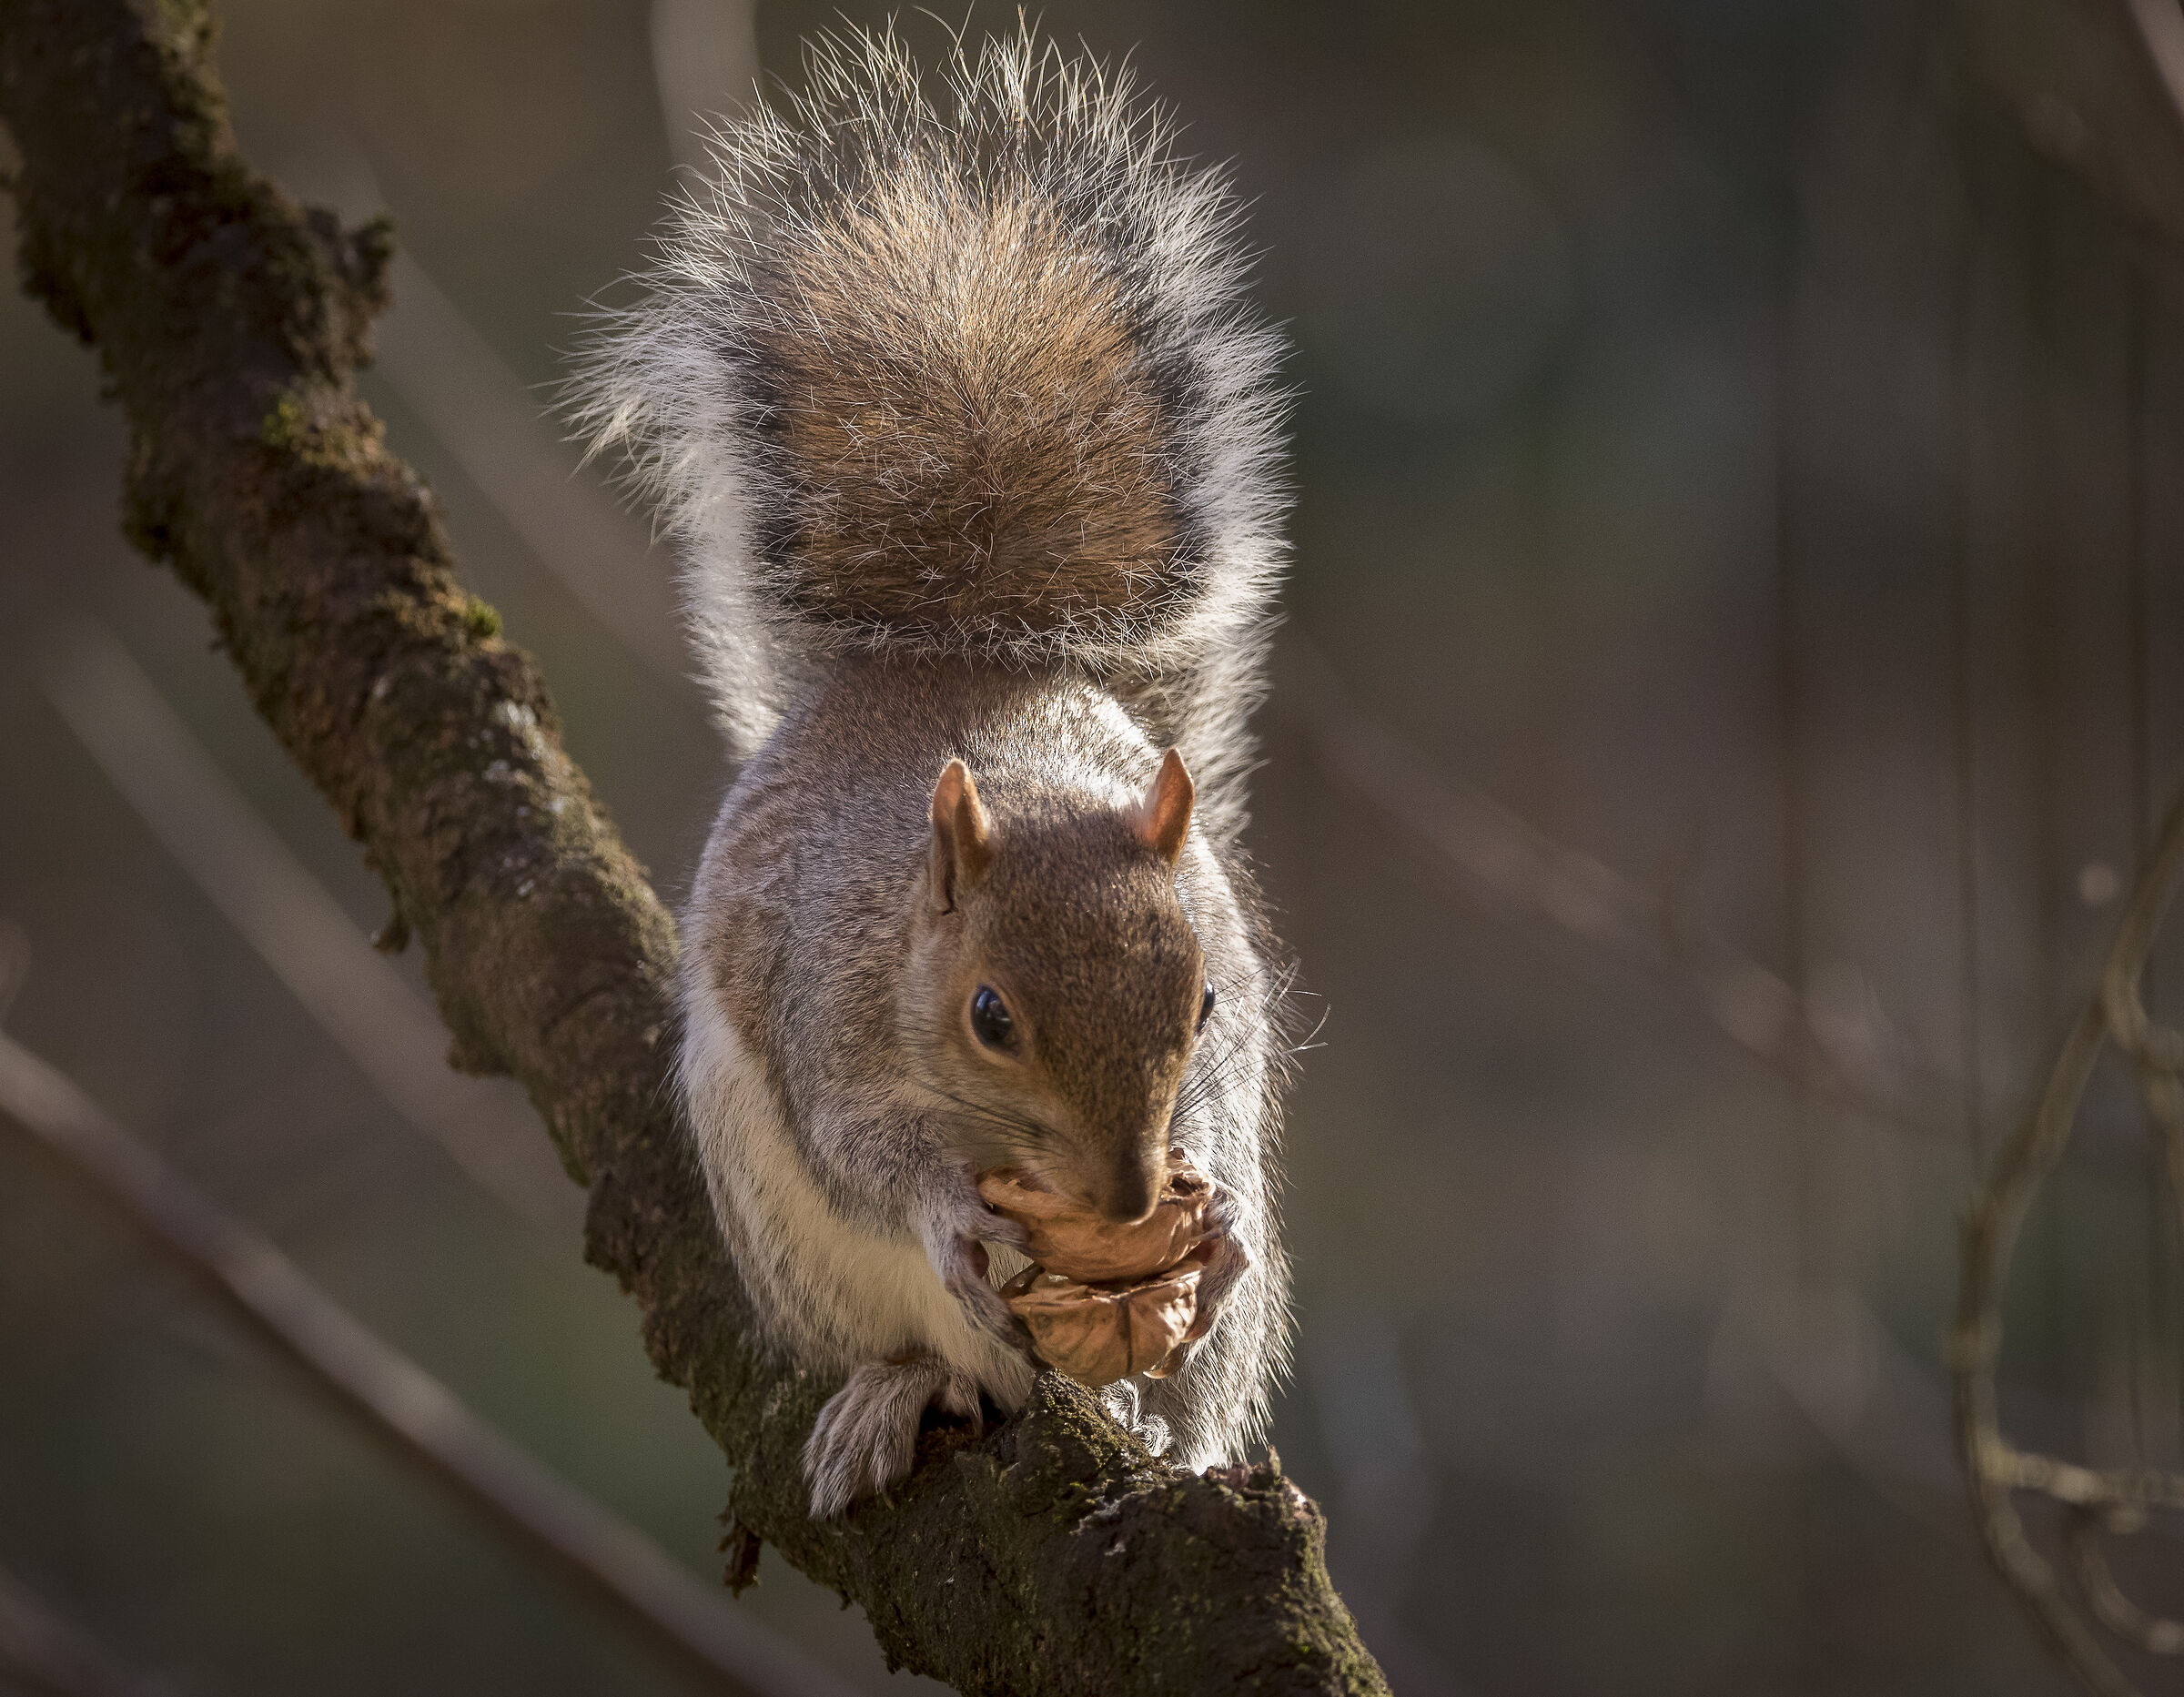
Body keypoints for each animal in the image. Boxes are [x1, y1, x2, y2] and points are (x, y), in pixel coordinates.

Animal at [570, 24, 1294, 1517]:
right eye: (989, 1016)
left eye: (1202, 998)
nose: (1133, 1198)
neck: (1022, 784)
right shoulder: (822, 1009)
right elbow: (863, 1148)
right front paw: (948, 1204)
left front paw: (1208, 1219)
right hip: (785, 1242)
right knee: (922, 1351)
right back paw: (901, 1391)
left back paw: (1139, 1410)